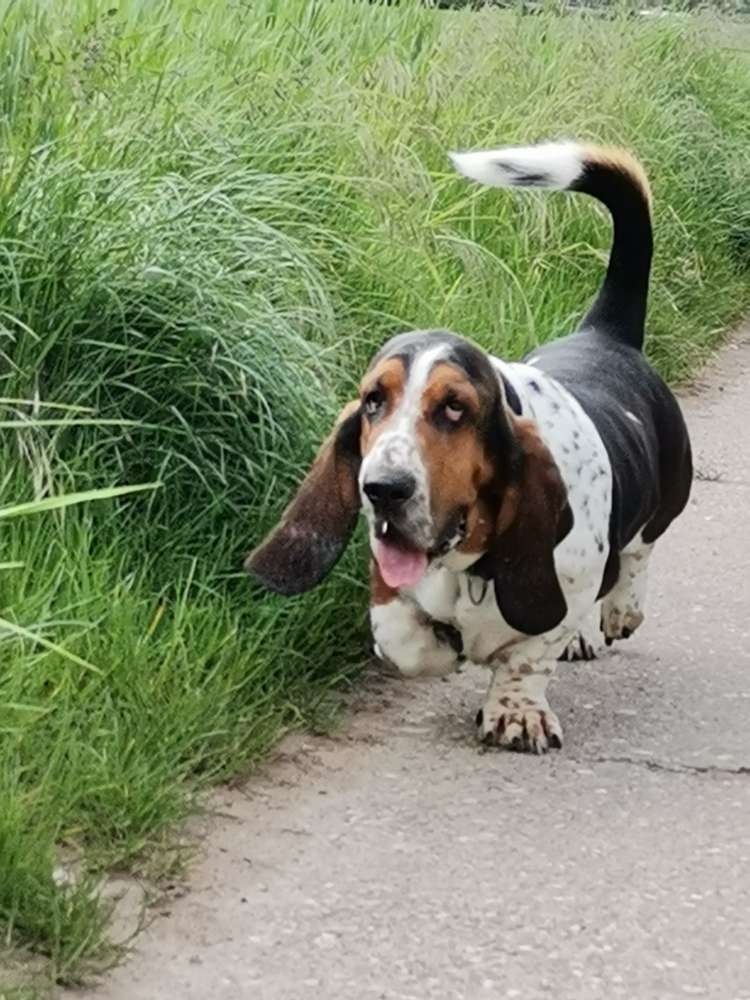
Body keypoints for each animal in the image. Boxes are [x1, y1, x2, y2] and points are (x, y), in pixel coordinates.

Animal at [245, 141, 692, 752]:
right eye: (373, 401)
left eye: (455, 408)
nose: (382, 490)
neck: (469, 563)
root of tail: (606, 333)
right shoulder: (393, 587)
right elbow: (402, 637)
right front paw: (445, 649)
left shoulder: (560, 593)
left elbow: (529, 654)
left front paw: (516, 712)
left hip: (669, 493)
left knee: (639, 549)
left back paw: (621, 609)